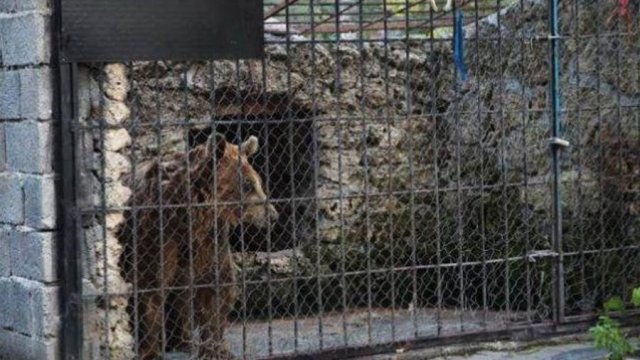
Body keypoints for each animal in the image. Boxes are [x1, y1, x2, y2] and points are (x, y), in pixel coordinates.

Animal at [118, 134, 278, 358]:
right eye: (248, 185)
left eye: (259, 182)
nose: (273, 215)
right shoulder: (157, 235)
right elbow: (149, 285)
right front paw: (149, 350)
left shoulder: (210, 241)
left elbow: (216, 286)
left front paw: (215, 348)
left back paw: (183, 340)